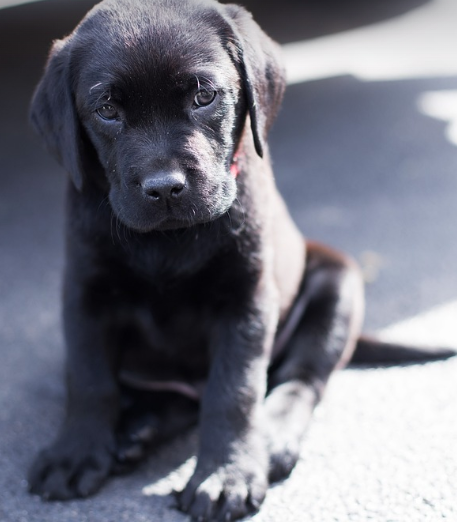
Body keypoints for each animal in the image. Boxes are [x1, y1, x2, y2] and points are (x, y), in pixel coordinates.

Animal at [27, 0, 455, 520]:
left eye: (203, 97)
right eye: (107, 110)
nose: (164, 188)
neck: (169, 240)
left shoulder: (246, 299)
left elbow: (235, 390)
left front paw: (225, 474)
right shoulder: (85, 293)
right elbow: (89, 379)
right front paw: (74, 454)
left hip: (338, 281)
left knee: (299, 379)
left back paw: (268, 440)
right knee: (177, 398)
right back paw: (135, 431)